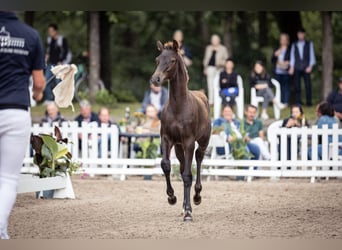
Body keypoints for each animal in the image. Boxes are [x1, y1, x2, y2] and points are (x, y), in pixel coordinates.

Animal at [150, 39, 211, 221]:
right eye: (157, 59)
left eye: (172, 61)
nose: (155, 79)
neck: (179, 107)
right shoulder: (167, 139)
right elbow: (166, 165)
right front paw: (172, 197)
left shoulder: (189, 142)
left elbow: (187, 175)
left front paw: (189, 212)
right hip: (178, 147)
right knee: (184, 165)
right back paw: (183, 206)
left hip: (202, 142)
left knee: (198, 159)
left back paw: (196, 197)